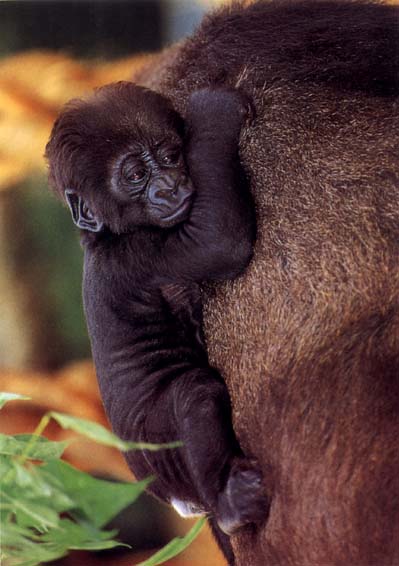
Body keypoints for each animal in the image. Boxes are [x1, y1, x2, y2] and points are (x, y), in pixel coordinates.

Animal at [45, 82, 268, 560]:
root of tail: (177, 500)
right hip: (161, 453)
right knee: (194, 393)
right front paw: (213, 111)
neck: (104, 236)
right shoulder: (140, 255)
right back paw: (229, 504)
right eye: (134, 176)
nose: (168, 187)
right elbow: (218, 241)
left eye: (169, 156)